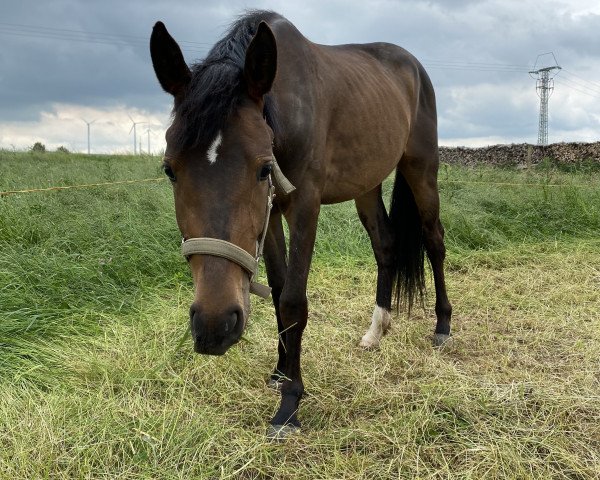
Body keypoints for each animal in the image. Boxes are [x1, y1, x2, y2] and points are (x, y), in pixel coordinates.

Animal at [150, 10, 450, 438]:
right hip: (367, 185)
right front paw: (279, 372)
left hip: (421, 169)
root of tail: (413, 66)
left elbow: (293, 301)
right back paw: (376, 331)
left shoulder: (305, 206)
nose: (214, 326)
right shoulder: (272, 213)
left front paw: (289, 403)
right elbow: (277, 292)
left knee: (434, 240)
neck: (287, 109)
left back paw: (443, 326)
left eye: (263, 168)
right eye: (169, 169)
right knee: (386, 246)